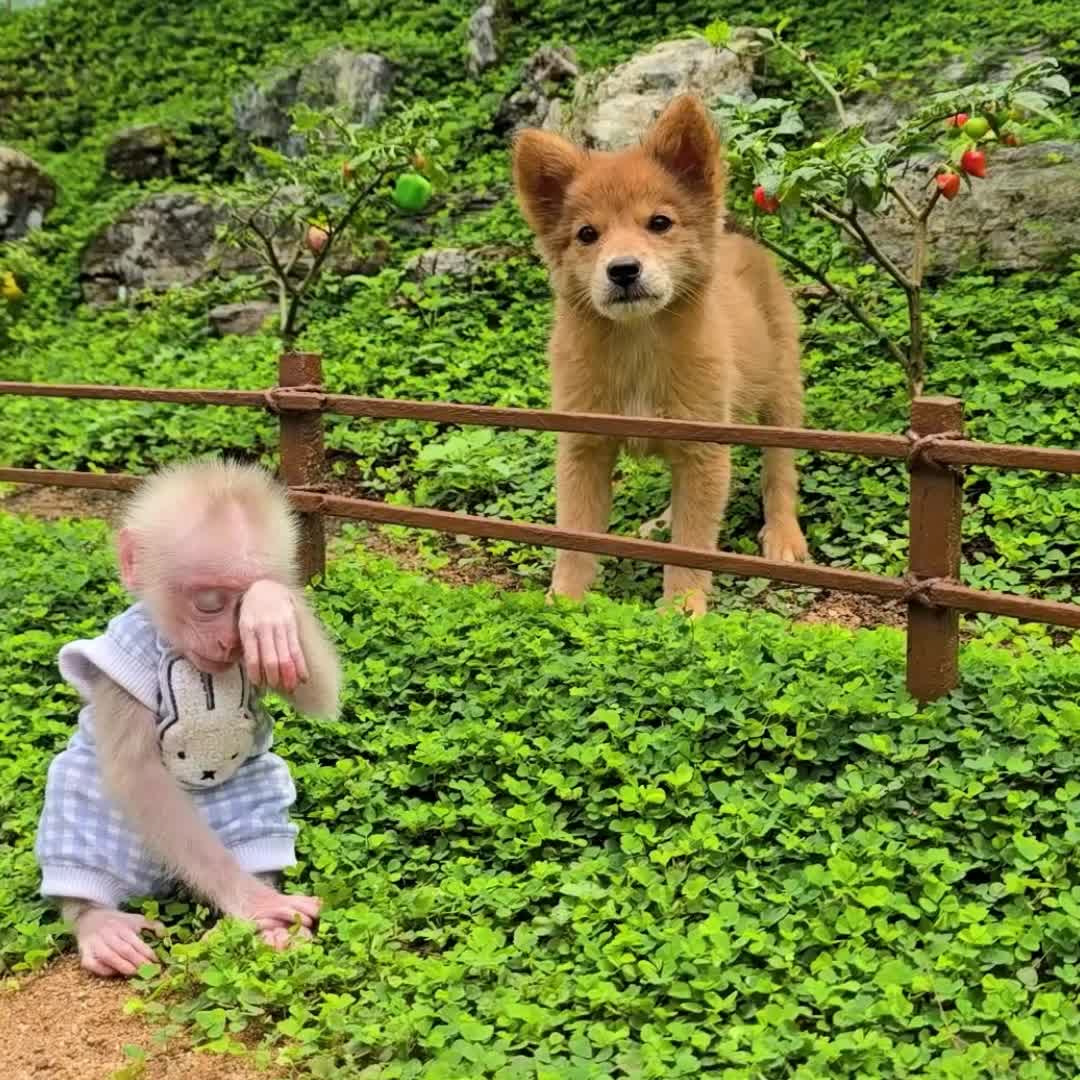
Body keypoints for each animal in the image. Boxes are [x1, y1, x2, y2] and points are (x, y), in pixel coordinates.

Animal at [34, 458, 341, 977]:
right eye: (210, 603)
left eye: (238, 604)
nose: (229, 642)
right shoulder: (121, 666)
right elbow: (138, 775)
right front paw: (254, 903)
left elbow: (321, 695)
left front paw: (270, 605)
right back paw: (98, 920)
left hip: (244, 800)